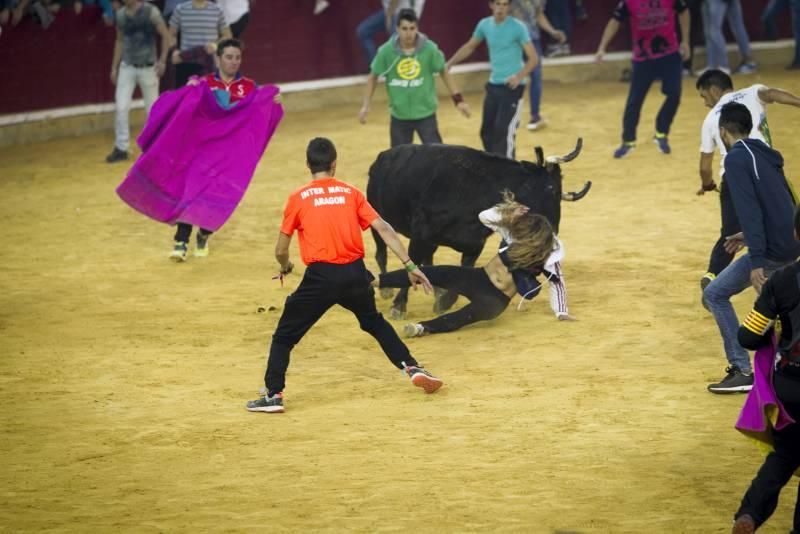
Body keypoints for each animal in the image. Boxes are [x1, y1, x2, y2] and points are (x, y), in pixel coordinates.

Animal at [366, 140, 592, 320]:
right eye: (551, 188)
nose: (554, 229)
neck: (475, 189)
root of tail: (382, 157)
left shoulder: (474, 244)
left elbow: (461, 271)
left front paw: (443, 302)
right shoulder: (421, 237)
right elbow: (411, 266)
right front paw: (398, 307)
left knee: (427, 259)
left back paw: (437, 292)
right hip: (377, 218)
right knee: (381, 253)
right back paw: (386, 290)